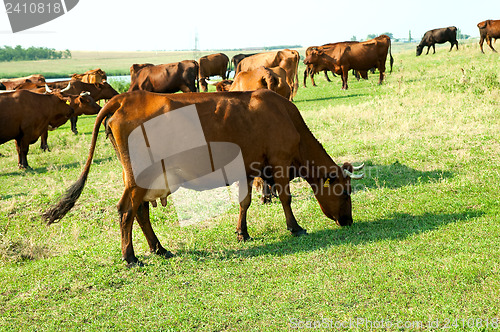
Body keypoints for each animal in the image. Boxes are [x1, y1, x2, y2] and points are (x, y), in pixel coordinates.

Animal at [43, 89, 364, 264]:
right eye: (345, 192)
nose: (348, 221)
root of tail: (124, 98)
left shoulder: (249, 168)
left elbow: (244, 202)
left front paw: (242, 232)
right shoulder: (280, 163)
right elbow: (286, 197)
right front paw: (295, 227)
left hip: (141, 178)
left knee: (141, 212)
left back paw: (159, 249)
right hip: (138, 176)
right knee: (126, 210)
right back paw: (130, 257)